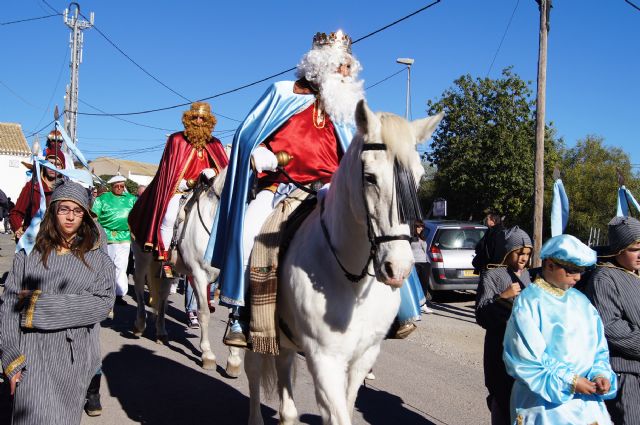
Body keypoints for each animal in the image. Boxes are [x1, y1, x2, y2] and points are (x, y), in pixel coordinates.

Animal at [131, 167, 241, 376]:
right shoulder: (199, 275)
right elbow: (204, 313)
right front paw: (207, 355)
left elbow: (234, 315)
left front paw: (234, 360)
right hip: (141, 258)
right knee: (139, 287)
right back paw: (139, 325)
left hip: (166, 268)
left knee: (163, 297)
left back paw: (161, 332)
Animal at [246, 102, 444, 424]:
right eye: (370, 177)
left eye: (418, 178)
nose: (398, 269)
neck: (351, 280)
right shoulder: (324, 360)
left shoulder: (364, 356)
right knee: (252, 371)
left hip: (285, 341)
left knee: (285, 391)